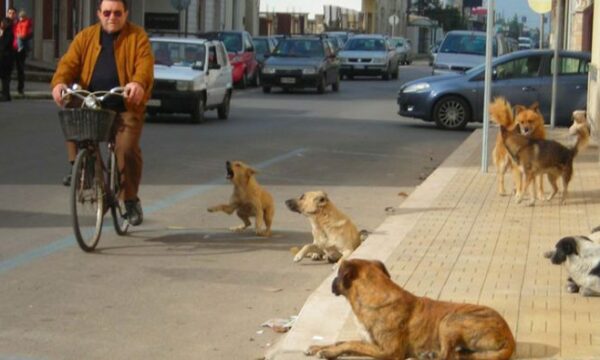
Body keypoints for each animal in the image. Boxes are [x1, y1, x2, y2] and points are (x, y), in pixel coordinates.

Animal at [304, 258, 516, 360]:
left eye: (337, 274)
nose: (331, 283)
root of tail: (510, 337)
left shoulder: (389, 351)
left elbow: (349, 344)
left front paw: (328, 353)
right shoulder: (370, 342)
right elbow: (342, 341)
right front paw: (319, 347)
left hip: (450, 320)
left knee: (448, 356)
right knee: (458, 355)